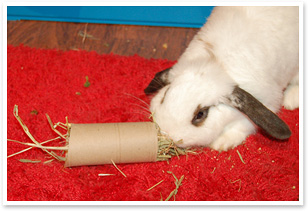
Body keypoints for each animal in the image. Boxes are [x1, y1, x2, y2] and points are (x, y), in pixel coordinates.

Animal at [144, 6, 298, 152]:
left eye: (201, 114)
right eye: (165, 95)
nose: (167, 133)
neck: (216, 64)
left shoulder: (267, 102)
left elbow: (245, 125)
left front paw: (222, 143)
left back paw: (291, 100)